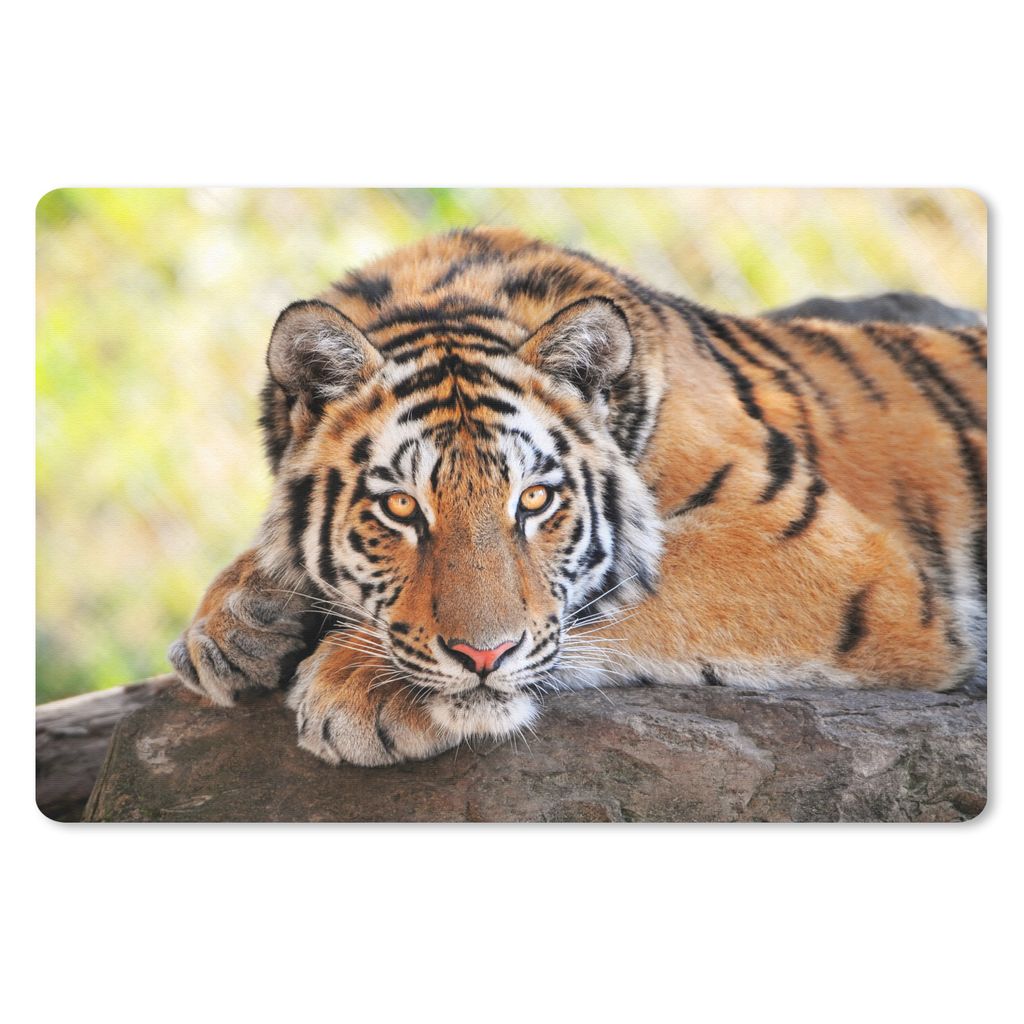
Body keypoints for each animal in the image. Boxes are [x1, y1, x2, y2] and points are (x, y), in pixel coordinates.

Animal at [168, 226, 988, 767]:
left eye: (534, 502)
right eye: (400, 508)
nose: (483, 655)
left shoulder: (829, 555)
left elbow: (617, 594)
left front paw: (358, 684)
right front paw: (235, 623)